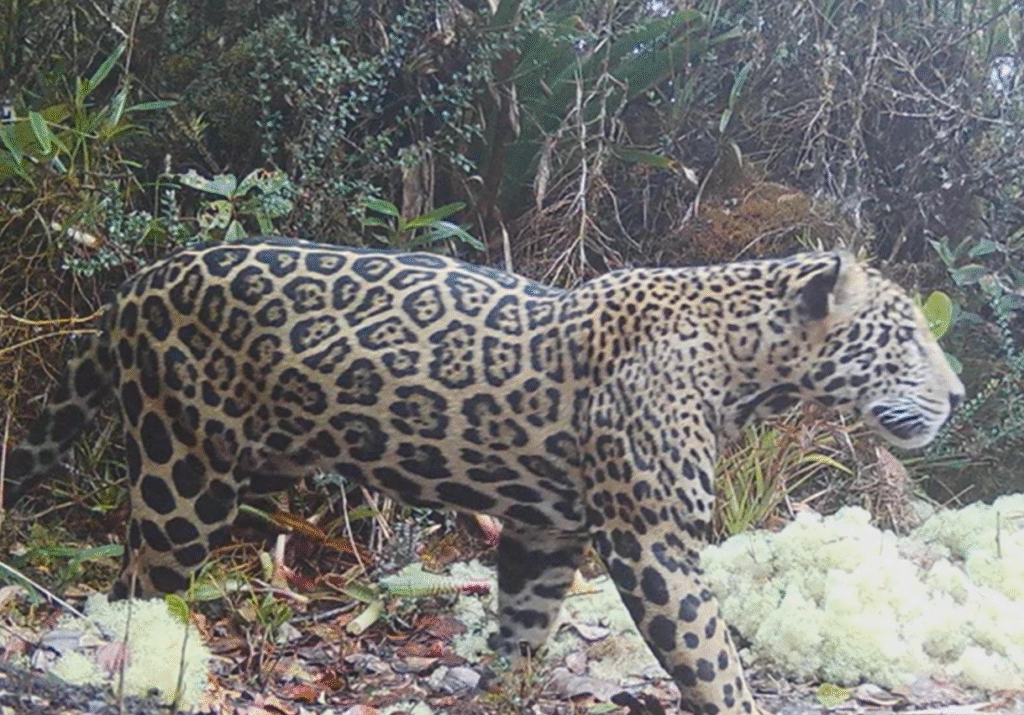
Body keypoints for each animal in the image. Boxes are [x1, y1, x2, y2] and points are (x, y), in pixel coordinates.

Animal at [3, 237, 963, 714]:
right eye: (907, 335)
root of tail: (134, 285)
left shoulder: (546, 529)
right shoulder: (651, 541)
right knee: (135, 587)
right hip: (185, 474)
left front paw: (505, 692)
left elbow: (525, 628)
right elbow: (713, 659)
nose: (956, 395)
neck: (747, 365)